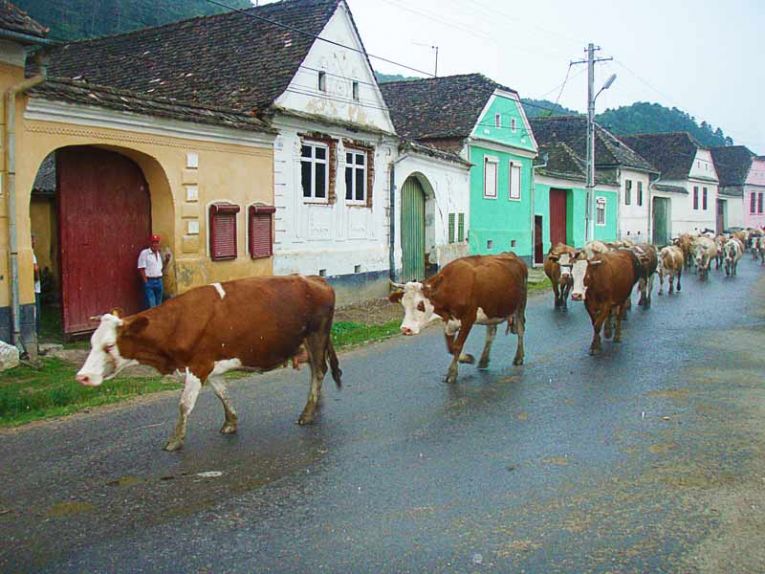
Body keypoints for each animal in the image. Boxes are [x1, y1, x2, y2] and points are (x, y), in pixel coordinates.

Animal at [75, 276, 344, 452]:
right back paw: (315, 407)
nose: (82, 376)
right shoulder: (212, 368)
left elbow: (184, 405)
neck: (179, 323)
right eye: (91, 342)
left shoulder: (198, 365)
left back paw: (307, 413)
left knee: (319, 372)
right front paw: (230, 423)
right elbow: (222, 394)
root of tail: (313, 278)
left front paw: (175, 441)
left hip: (316, 336)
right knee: (316, 371)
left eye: (109, 346)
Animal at [388, 254, 524, 384]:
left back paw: (519, 357)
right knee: (491, 333)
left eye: (420, 305)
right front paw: (467, 358)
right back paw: (484, 360)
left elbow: (458, 345)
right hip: (491, 311)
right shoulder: (449, 322)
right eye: (403, 305)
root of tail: (512, 255)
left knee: (520, 329)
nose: (406, 329)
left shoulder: (468, 318)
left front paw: (452, 373)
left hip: (520, 305)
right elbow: (450, 347)